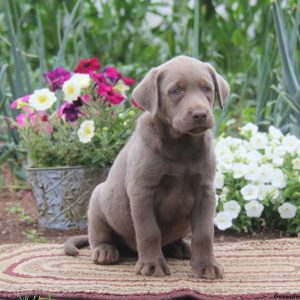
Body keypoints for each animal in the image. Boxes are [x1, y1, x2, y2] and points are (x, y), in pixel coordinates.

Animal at [65, 55, 230, 278]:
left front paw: (206, 266)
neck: (181, 146)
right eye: (175, 91)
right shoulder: (142, 191)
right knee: (99, 234)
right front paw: (152, 266)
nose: (200, 114)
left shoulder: (206, 192)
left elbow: (204, 233)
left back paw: (181, 247)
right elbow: (149, 231)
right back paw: (105, 251)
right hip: (98, 199)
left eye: (207, 89)